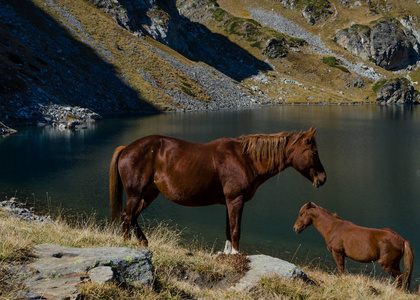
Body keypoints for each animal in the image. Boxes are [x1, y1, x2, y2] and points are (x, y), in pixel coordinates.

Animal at [110, 127, 326, 254]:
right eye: (314, 152)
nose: (322, 179)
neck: (245, 158)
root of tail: (126, 148)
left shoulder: (228, 202)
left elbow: (228, 230)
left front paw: (227, 254)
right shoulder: (236, 200)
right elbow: (236, 230)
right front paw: (236, 255)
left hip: (149, 194)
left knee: (134, 217)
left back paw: (144, 242)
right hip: (136, 194)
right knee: (127, 216)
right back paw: (126, 244)